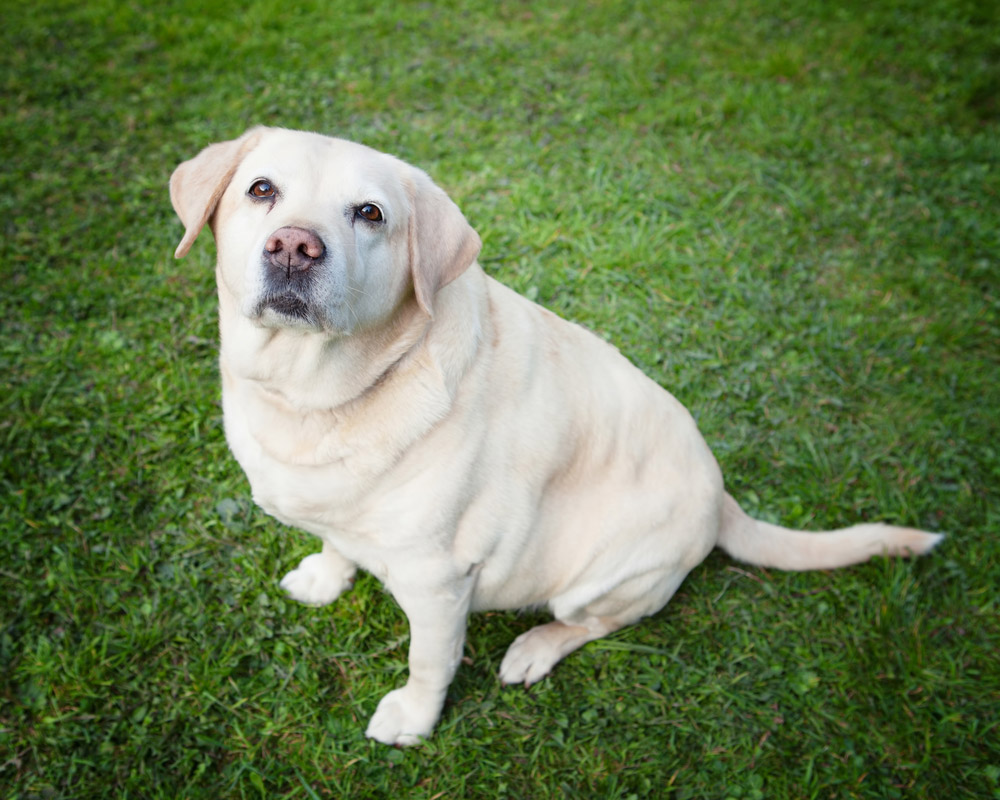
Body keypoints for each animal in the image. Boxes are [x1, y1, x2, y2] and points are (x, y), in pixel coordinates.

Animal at [168, 125, 940, 744]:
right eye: (262, 189)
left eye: (369, 213)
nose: (294, 246)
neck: (319, 395)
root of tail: (722, 499)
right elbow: (336, 538)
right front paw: (327, 576)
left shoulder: (440, 582)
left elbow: (429, 662)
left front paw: (413, 720)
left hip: (598, 580)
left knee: (591, 624)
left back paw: (535, 647)